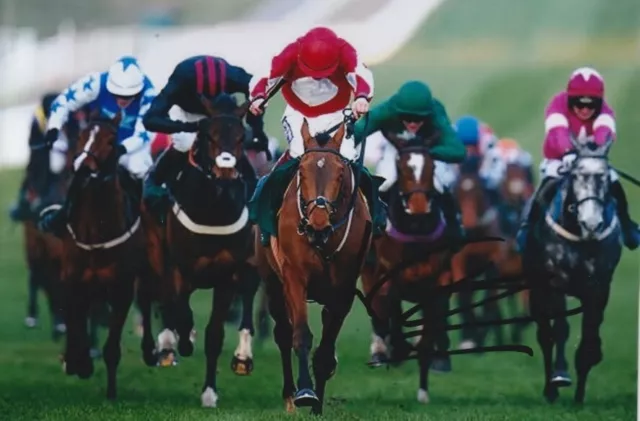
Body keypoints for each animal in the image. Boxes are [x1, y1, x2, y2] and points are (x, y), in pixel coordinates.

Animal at [55, 110, 155, 398]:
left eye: (111, 139)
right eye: (81, 135)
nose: (83, 166)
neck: (96, 232)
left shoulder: (121, 286)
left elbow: (112, 345)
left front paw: (110, 391)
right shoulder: (73, 279)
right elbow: (75, 317)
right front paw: (78, 361)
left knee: (146, 301)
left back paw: (151, 351)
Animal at [144, 93, 262, 406]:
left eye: (241, 137)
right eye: (209, 135)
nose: (225, 169)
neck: (213, 210)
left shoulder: (227, 275)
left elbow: (214, 335)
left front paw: (209, 393)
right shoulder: (179, 269)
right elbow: (181, 314)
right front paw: (179, 342)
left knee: (248, 293)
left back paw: (243, 356)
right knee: (163, 298)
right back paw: (167, 345)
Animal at [255, 118, 372, 414]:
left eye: (340, 173)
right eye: (302, 172)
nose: (318, 225)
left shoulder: (343, 289)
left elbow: (326, 350)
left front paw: (318, 406)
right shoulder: (294, 278)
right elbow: (301, 336)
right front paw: (305, 393)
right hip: (272, 282)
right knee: (283, 334)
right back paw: (289, 396)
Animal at [360, 131, 460, 404]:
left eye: (432, 166)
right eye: (401, 167)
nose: (418, 206)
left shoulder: (437, 285)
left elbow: (428, 334)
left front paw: (424, 390)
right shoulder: (387, 280)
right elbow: (390, 317)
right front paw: (395, 350)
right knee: (380, 314)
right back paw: (381, 351)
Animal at [524, 139, 624, 404]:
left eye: (604, 177)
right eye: (577, 175)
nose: (592, 223)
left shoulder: (599, 286)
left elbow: (590, 332)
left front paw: (580, 392)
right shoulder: (557, 281)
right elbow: (560, 329)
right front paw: (560, 376)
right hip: (537, 290)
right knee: (545, 335)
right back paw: (550, 390)